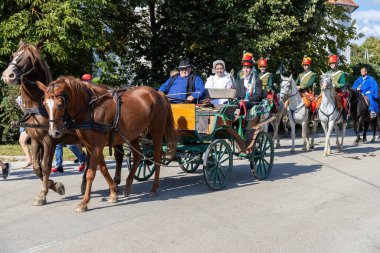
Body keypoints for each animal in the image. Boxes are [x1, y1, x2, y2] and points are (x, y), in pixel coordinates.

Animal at [1, 40, 123, 206]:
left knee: (118, 155)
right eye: (13, 55)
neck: (38, 106)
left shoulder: (49, 140)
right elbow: (36, 167)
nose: (8, 75)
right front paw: (55, 185)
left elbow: (45, 166)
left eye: (29, 58)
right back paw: (86, 183)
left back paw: (115, 182)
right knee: (91, 157)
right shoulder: (35, 140)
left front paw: (43, 193)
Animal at [37, 76, 177, 211]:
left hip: (156, 130)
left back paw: (154, 188)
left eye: (60, 104)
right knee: (138, 156)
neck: (90, 110)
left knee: (157, 156)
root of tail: (157, 93)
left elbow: (91, 173)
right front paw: (113, 192)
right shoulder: (90, 146)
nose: (53, 132)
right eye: (45, 104)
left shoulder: (97, 145)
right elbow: (103, 169)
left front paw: (84, 202)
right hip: (133, 134)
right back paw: (128, 185)